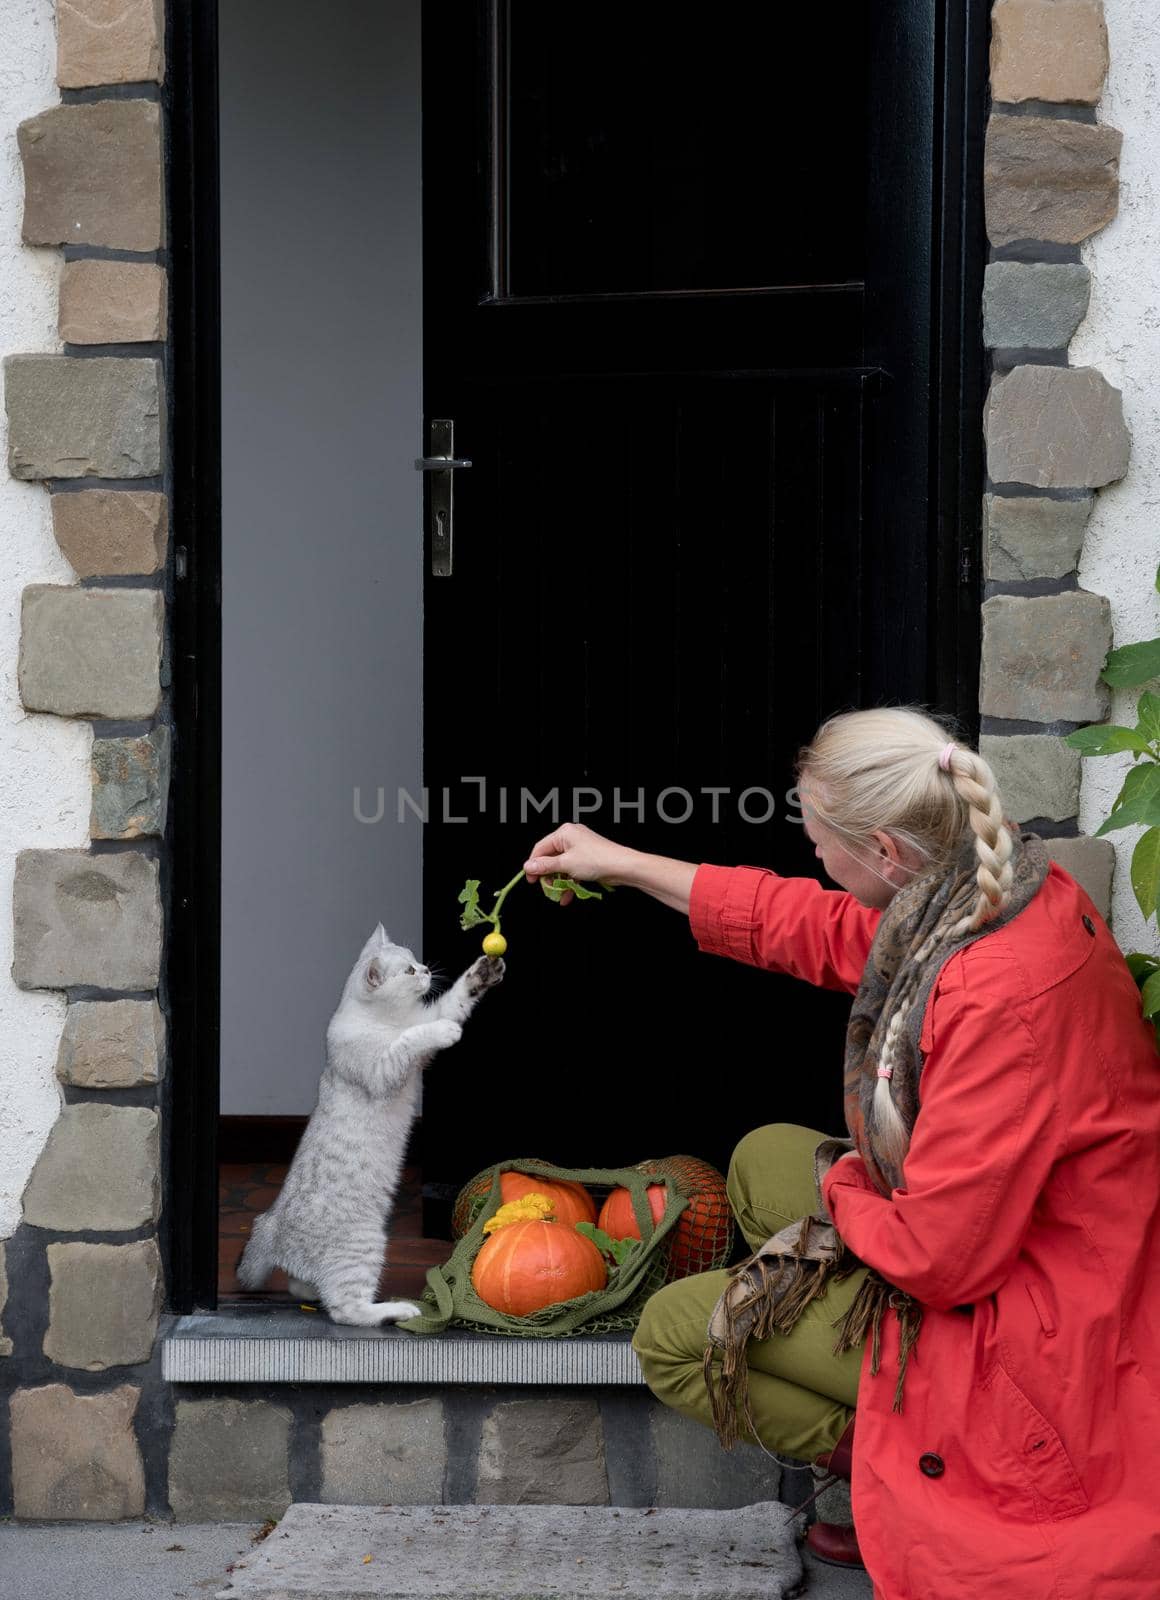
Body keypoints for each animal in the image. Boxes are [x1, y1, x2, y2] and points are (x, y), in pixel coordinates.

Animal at [236, 928, 502, 1324]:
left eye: (417, 962)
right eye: (409, 970)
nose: (427, 969)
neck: (386, 1019)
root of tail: (270, 1225)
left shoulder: (424, 1022)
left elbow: (453, 999)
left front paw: (484, 970)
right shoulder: (384, 1068)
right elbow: (412, 1037)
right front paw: (445, 1030)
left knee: (302, 1285)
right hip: (364, 1243)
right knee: (346, 1310)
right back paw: (399, 1309)